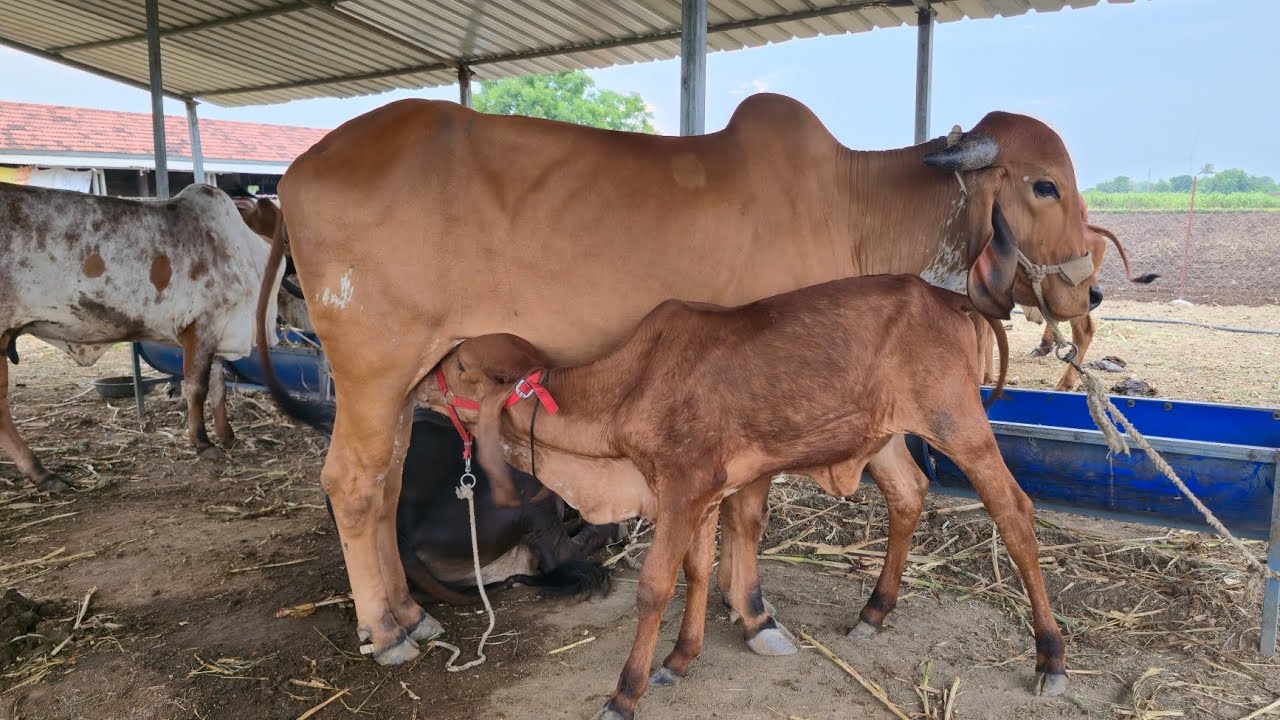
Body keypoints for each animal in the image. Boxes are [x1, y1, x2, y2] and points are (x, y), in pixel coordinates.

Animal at [0, 182, 284, 491]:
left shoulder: (219, 332)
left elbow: (219, 390)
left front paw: (227, 436)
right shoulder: (200, 328)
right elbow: (197, 388)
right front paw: (202, 442)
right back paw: (42, 473)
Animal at [255, 93, 1140, 667]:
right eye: (1044, 183)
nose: (1089, 292)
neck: (854, 207)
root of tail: (295, 175)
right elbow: (750, 513)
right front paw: (751, 615)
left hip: (408, 381)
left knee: (388, 478)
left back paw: (406, 613)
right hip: (372, 367)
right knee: (353, 483)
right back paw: (390, 633)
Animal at [419, 273, 1065, 719]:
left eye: (458, 364)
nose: (416, 384)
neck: (630, 383)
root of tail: (950, 297)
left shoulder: (683, 486)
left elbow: (655, 585)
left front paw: (625, 693)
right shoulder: (705, 491)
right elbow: (698, 571)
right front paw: (680, 659)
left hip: (960, 425)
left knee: (1014, 513)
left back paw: (1051, 656)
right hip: (883, 438)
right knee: (908, 496)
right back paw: (873, 612)